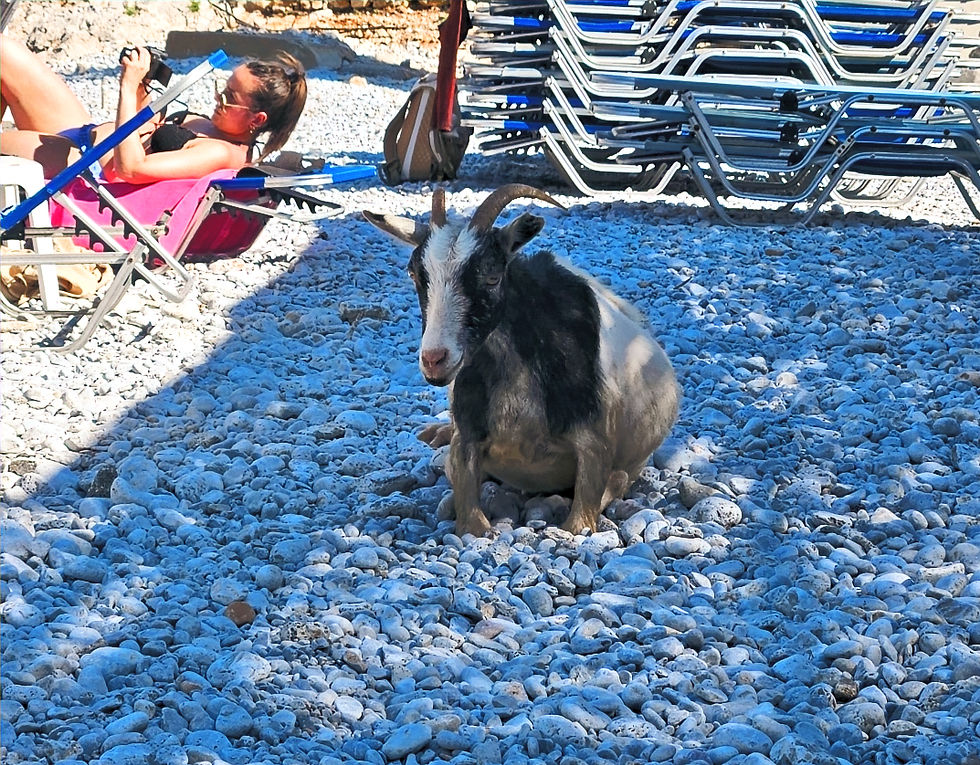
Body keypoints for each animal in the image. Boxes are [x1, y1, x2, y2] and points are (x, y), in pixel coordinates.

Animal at [363, 184, 680, 536]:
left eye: (492, 276)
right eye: (414, 273)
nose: (434, 359)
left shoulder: (596, 444)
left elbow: (587, 513)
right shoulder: (466, 435)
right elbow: (468, 514)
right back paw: (433, 432)